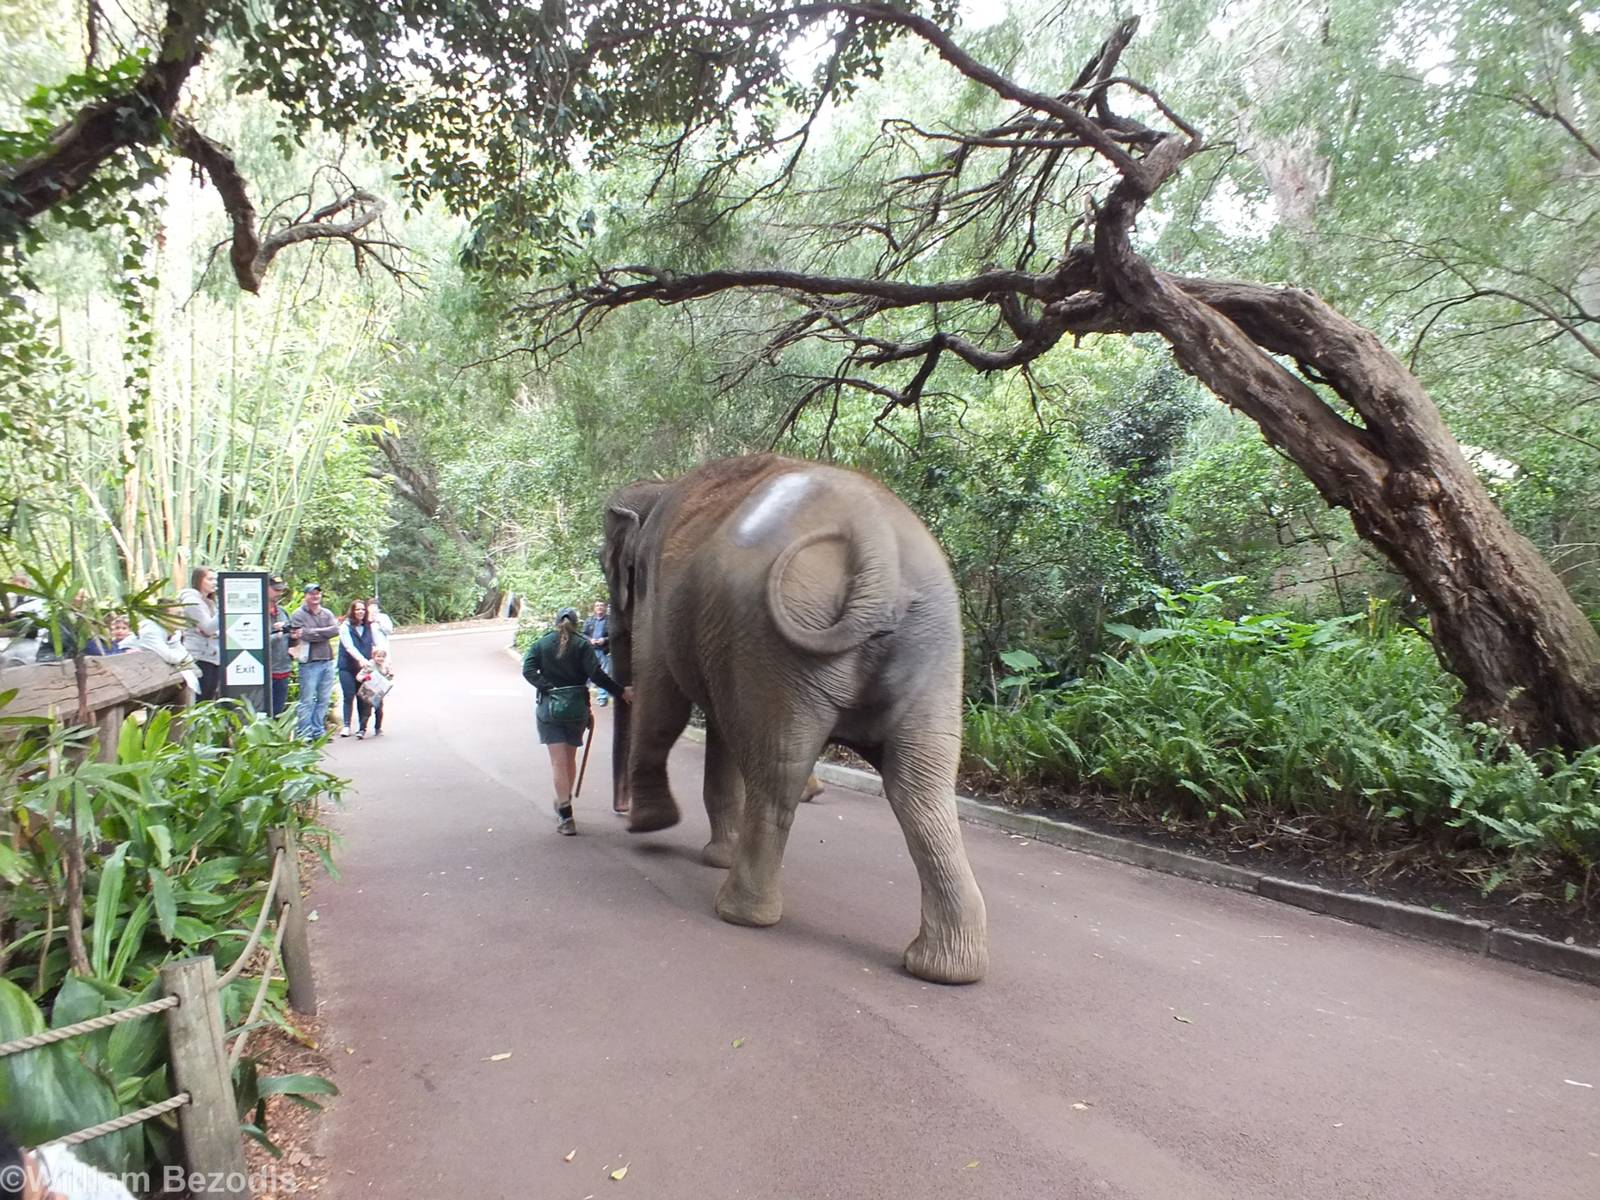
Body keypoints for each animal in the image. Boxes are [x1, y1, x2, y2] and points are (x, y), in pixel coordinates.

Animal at [602, 453, 988, 984]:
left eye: (609, 570)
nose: (620, 813)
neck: (658, 487)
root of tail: (876, 540)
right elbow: (718, 731)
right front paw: (712, 853)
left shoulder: (659, 597)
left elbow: (663, 702)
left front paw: (652, 826)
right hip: (934, 643)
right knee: (922, 787)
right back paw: (946, 969)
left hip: (775, 644)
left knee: (778, 769)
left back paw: (739, 913)